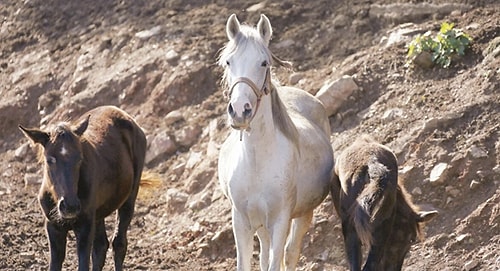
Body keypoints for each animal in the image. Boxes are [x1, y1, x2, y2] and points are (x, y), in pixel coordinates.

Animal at [19, 106, 150, 271]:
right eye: (50, 160)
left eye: (79, 158)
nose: (70, 206)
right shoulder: (53, 227)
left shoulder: (85, 226)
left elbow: (84, 263)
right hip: (99, 213)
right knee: (101, 246)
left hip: (128, 199)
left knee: (119, 243)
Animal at [218, 14, 332, 271]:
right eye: (229, 62)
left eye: (263, 63)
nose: (239, 111)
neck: (257, 162)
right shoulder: (242, 221)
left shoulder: (280, 221)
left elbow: (277, 259)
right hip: (261, 224)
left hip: (301, 215)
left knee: (290, 253)